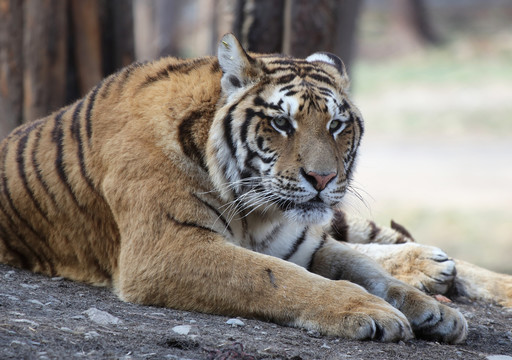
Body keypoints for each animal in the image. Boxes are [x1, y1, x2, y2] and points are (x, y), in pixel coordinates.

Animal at [0, 34, 510, 346]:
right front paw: (372, 310)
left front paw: (435, 312)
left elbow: (360, 266)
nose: (322, 179)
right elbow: (280, 278)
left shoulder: (300, 241)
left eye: (337, 125)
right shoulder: (167, 248)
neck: (256, 210)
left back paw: (443, 268)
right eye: (282, 123)